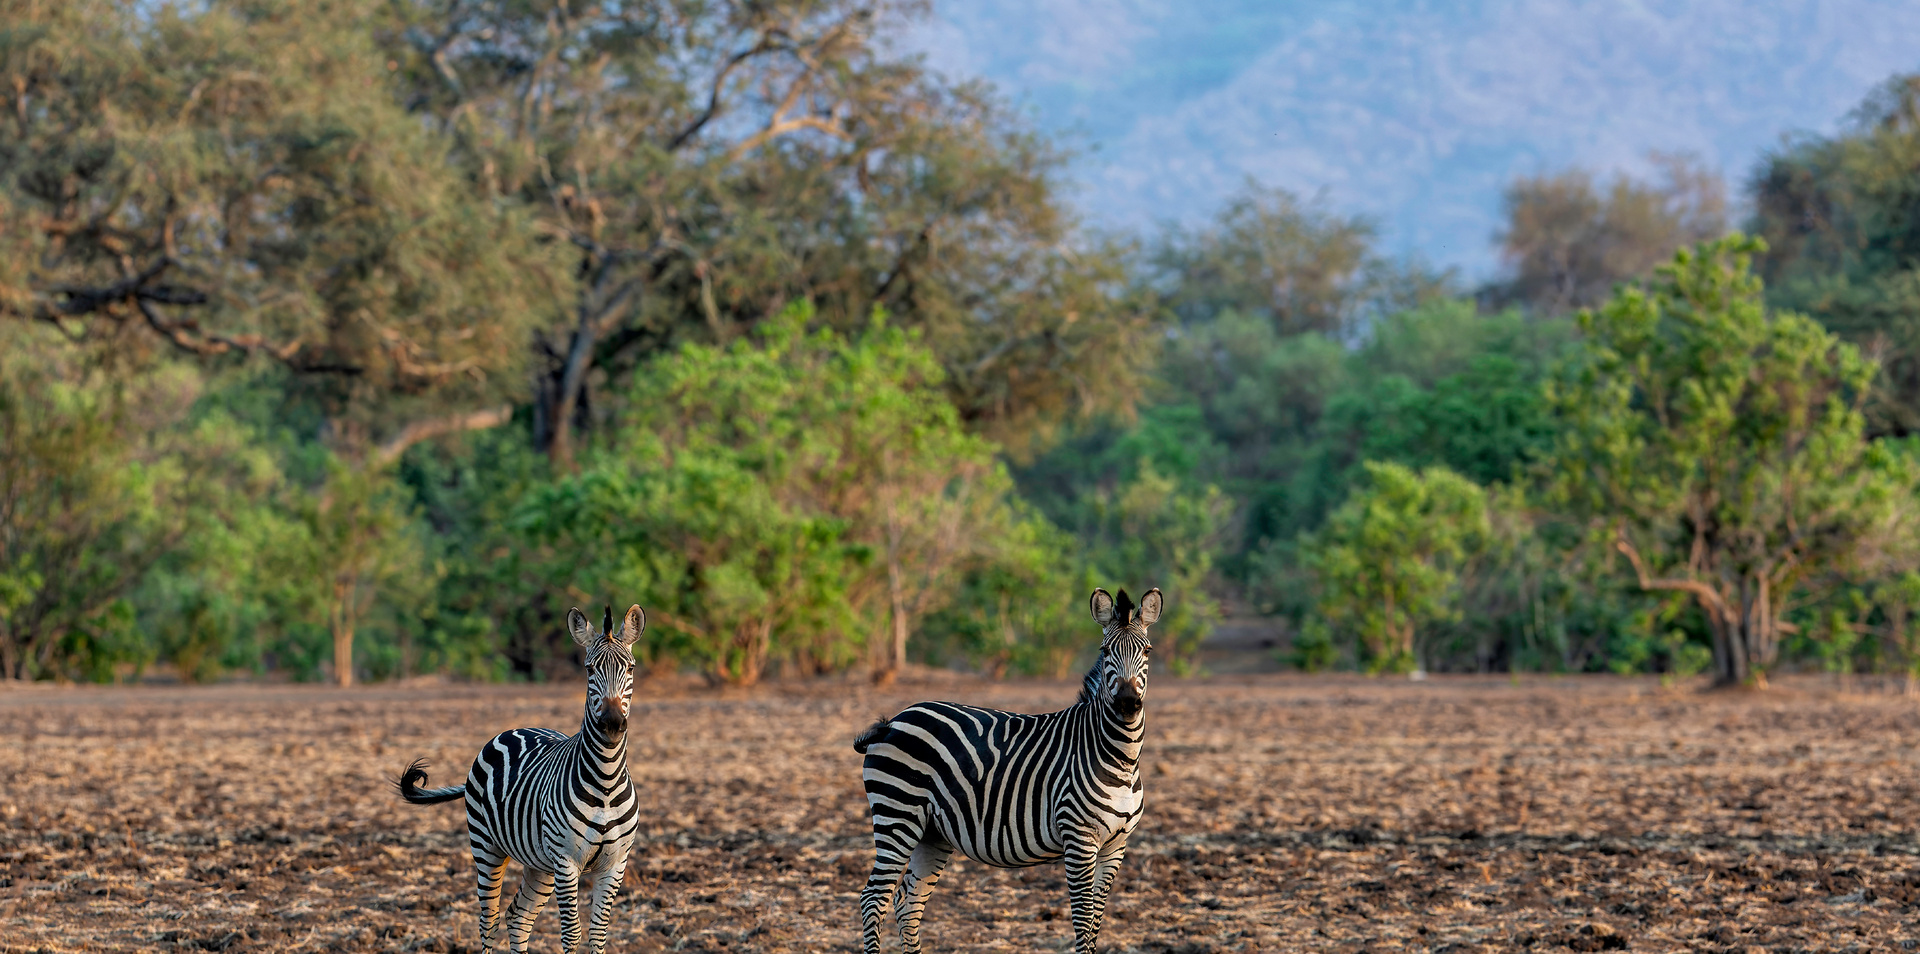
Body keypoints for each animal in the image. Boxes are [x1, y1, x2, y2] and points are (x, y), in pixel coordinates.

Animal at [395, 606, 645, 948]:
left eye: (630, 668)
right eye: (590, 669)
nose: (612, 723)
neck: (605, 783)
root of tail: (514, 729)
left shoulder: (615, 865)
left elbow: (598, 934)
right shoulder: (566, 862)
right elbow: (572, 934)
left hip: (539, 862)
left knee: (519, 916)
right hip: (486, 848)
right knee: (489, 921)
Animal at [852, 583, 1152, 948]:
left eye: (1148, 651)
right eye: (1106, 651)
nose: (1127, 704)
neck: (1119, 757)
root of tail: (895, 720)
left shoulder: (1116, 845)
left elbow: (1096, 921)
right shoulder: (1078, 838)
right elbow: (1083, 920)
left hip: (932, 832)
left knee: (907, 903)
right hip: (897, 816)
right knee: (873, 899)